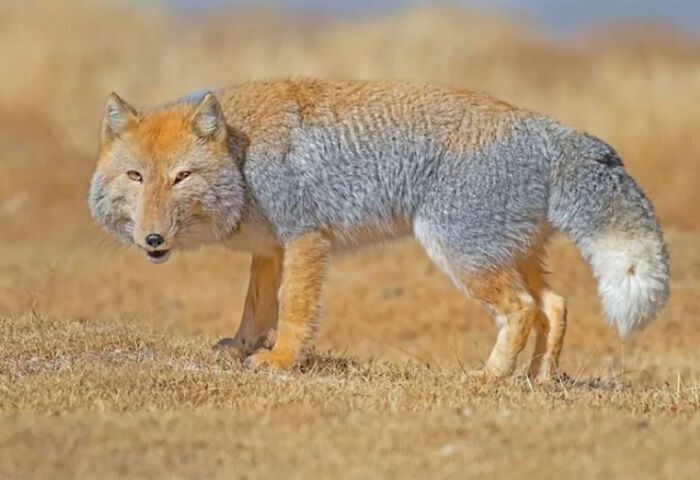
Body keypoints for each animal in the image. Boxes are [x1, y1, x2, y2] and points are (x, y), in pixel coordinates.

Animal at [89, 79, 669, 380]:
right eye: (136, 177)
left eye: (181, 177)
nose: (152, 240)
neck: (241, 155)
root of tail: (549, 129)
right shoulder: (271, 249)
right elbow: (255, 307)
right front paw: (240, 348)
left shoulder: (305, 237)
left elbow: (293, 309)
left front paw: (281, 361)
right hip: (508, 255)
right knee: (555, 304)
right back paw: (536, 379)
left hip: (460, 254)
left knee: (524, 309)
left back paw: (490, 377)